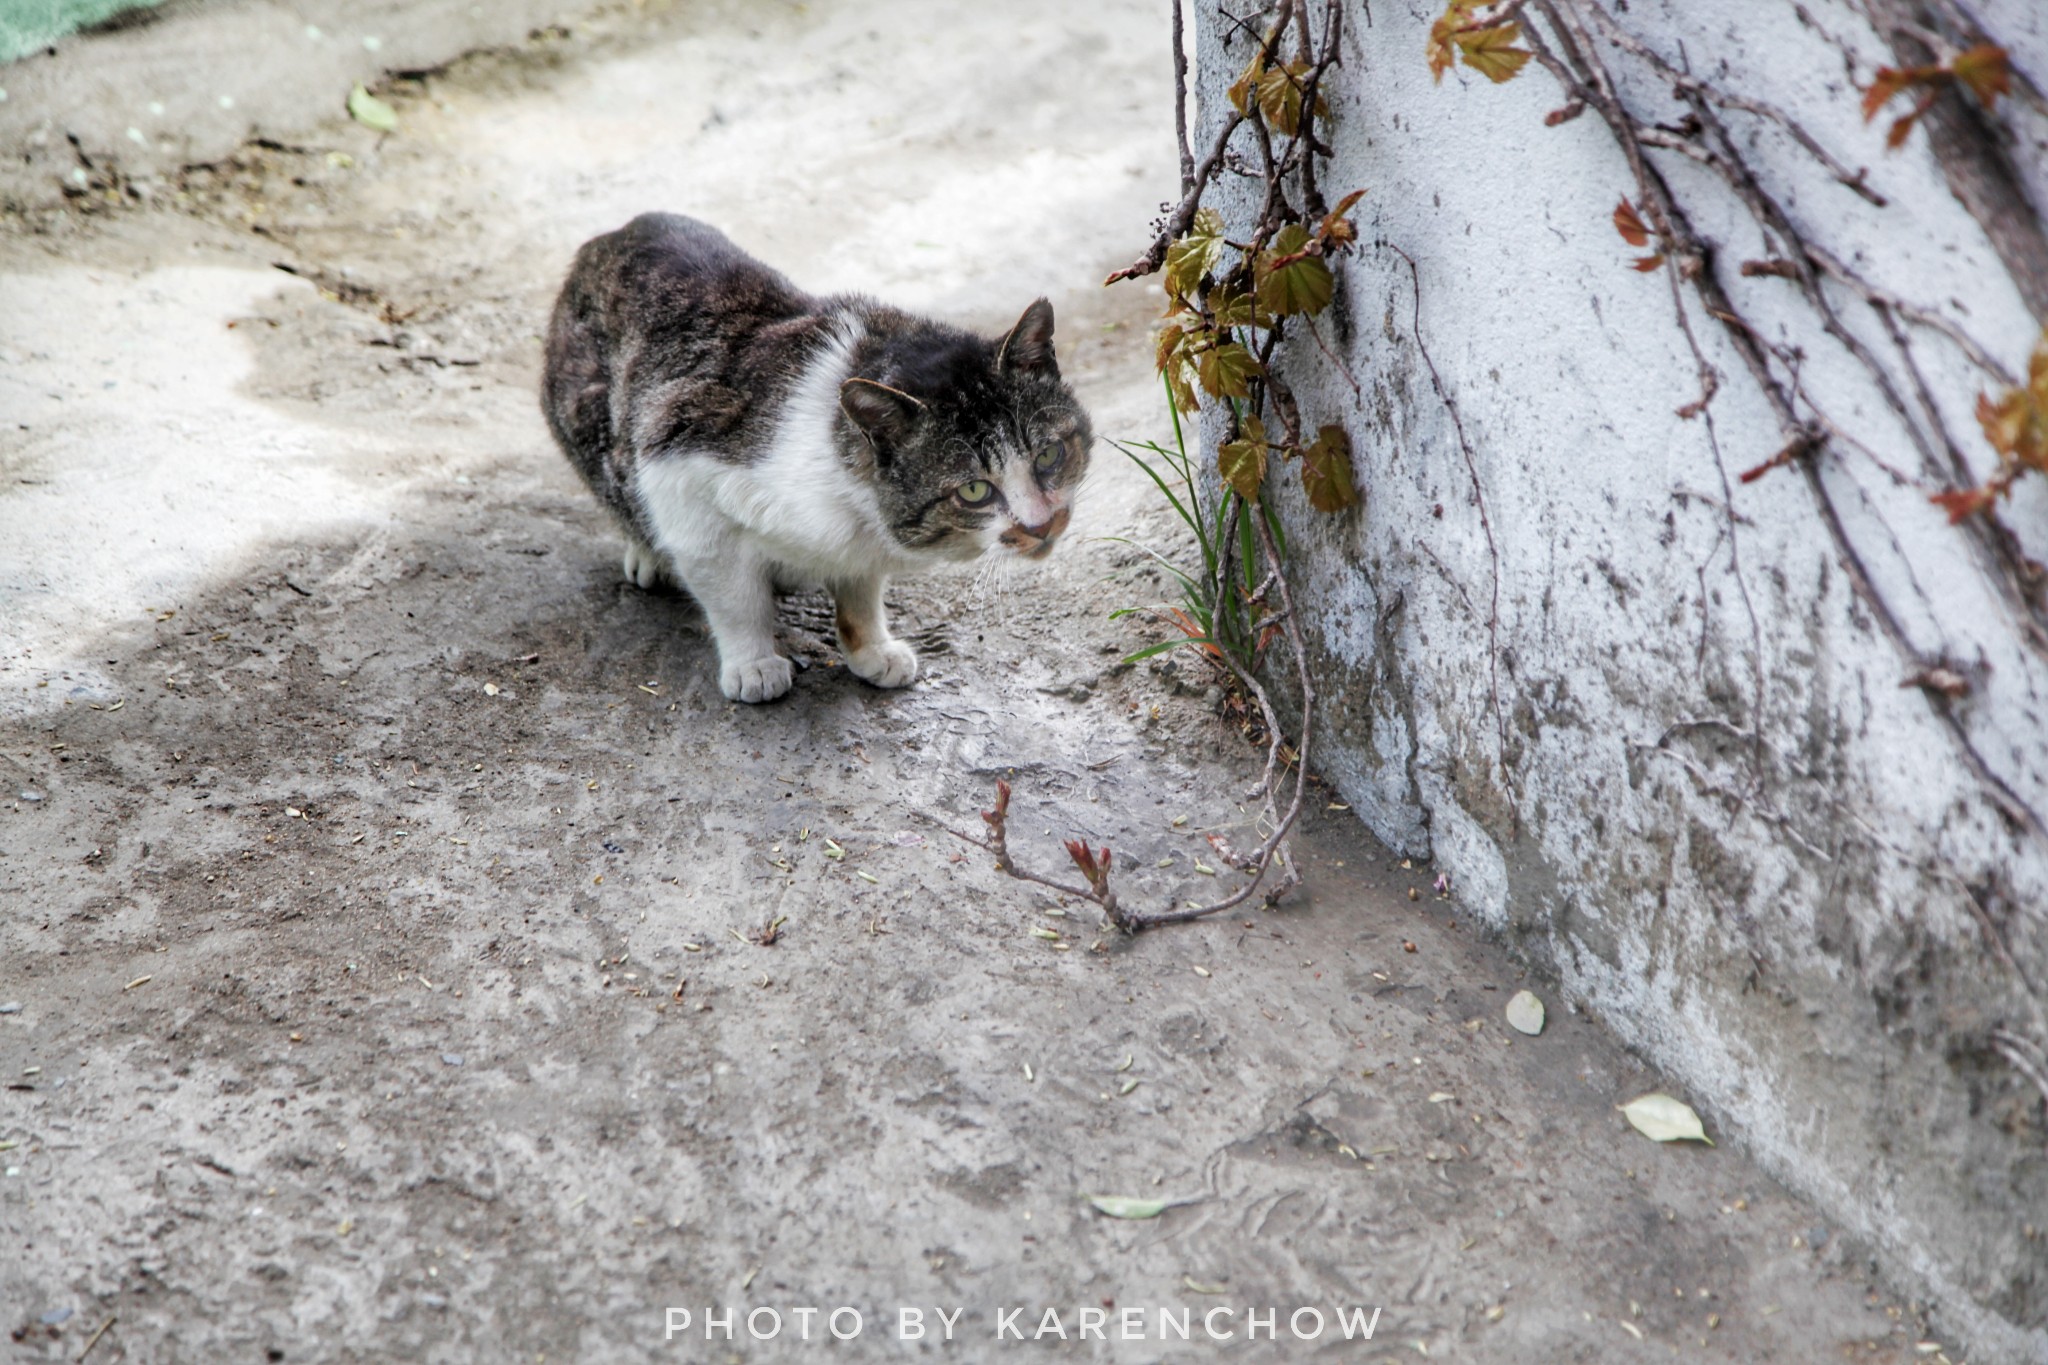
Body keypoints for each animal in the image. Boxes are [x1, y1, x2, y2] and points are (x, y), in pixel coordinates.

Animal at [540, 215, 1089, 703]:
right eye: (974, 490)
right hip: (589, 415)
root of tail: (612, 235)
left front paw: (871, 649)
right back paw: (651, 554)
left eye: (1049, 454)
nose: (1042, 524)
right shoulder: (678, 459)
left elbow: (860, 589)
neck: (853, 504)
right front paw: (754, 663)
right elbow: (732, 594)